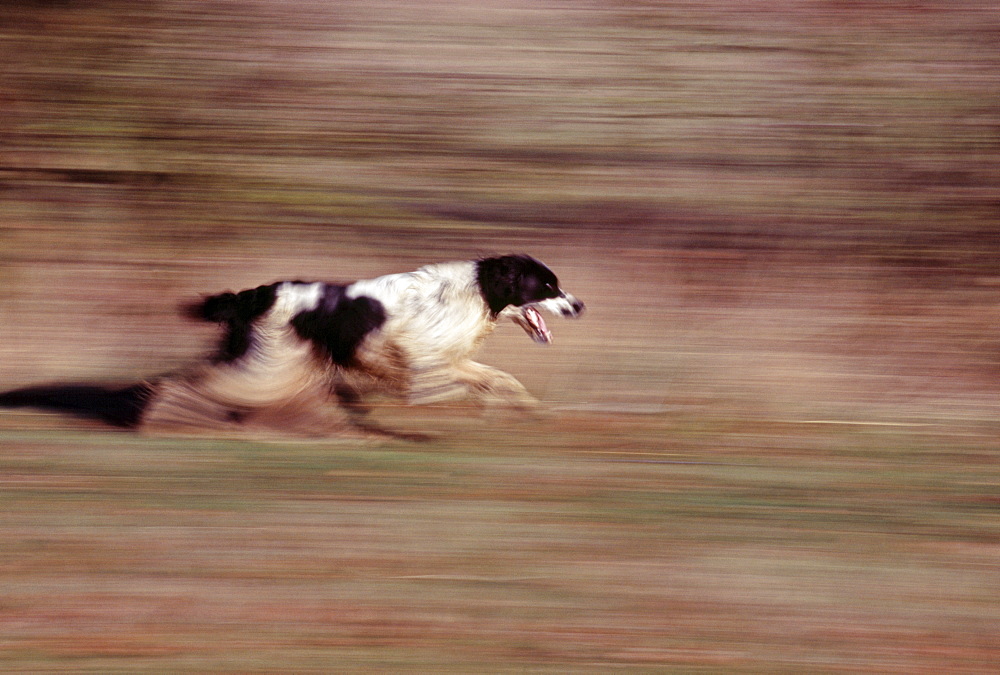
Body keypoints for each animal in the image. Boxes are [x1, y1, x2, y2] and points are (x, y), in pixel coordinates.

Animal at [0, 255, 584, 438]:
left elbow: (499, 379)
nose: (579, 304)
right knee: (200, 379)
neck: (478, 289)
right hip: (272, 359)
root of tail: (253, 294)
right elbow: (450, 385)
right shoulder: (421, 367)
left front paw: (522, 409)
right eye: (547, 285)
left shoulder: (445, 360)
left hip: (279, 360)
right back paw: (162, 409)